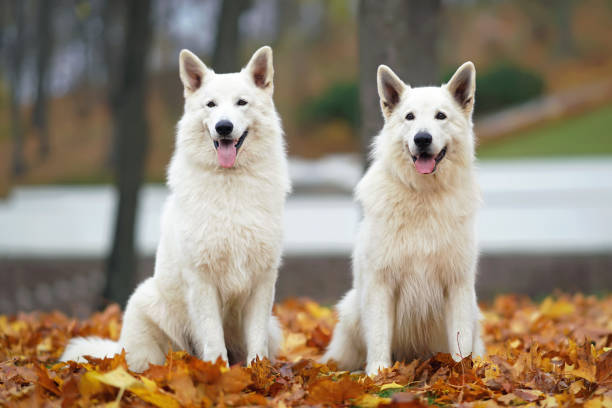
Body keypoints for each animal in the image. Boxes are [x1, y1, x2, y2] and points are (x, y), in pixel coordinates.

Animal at [61, 47, 290, 372]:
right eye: (211, 104)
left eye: (241, 102)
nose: (223, 127)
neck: (230, 184)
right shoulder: (202, 279)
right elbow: (213, 339)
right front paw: (218, 373)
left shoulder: (262, 281)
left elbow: (255, 340)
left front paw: (258, 373)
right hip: (145, 311)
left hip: (274, 326)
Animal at [322, 61, 486, 376]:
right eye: (409, 117)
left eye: (440, 116)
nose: (422, 138)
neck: (422, 195)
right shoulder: (381, 282)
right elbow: (378, 337)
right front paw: (378, 376)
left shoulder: (457, 283)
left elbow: (460, 340)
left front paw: (463, 375)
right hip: (351, 309)